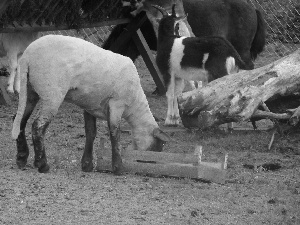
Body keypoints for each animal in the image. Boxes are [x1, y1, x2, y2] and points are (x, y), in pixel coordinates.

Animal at [11, 34, 169, 173]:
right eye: (157, 146)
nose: (148, 162)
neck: (134, 103)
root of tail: (27, 57)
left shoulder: (89, 105)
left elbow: (91, 132)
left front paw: (87, 165)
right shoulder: (117, 104)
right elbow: (114, 133)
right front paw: (118, 167)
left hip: (30, 90)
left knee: (19, 120)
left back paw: (21, 157)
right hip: (52, 93)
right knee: (37, 126)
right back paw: (42, 164)